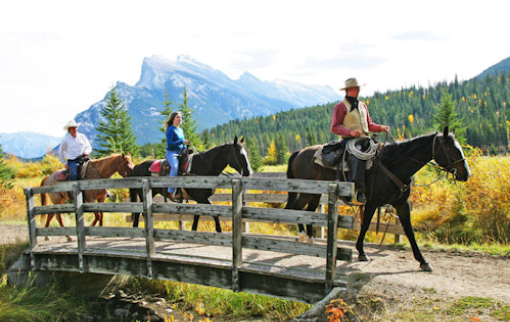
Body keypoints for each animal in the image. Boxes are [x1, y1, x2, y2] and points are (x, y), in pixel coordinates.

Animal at [284, 127, 468, 270]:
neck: (393, 165)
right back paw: (303, 235)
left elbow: (409, 230)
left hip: (315, 193)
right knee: (297, 210)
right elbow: (365, 224)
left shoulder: (402, 204)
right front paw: (361, 252)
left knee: (309, 212)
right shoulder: (372, 202)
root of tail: (299, 153)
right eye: (451, 149)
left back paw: (310, 239)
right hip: (306, 192)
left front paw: (422, 260)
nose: (466, 174)